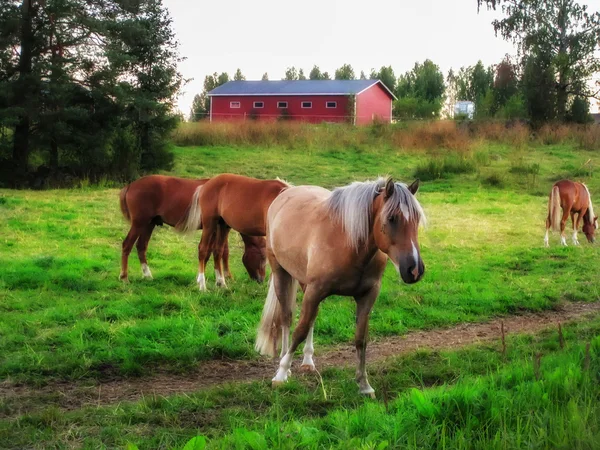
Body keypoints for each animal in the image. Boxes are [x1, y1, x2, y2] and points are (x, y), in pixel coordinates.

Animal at [118, 175, 266, 282]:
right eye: (263, 257)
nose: (261, 280)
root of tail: (131, 185)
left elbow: (216, 252)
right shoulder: (215, 228)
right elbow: (221, 252)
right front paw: (223, 277)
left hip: (149, 224)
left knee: (141, 246)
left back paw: (147, 275)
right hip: (139, 223)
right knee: (127, 245)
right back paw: (124, 277)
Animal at [254, 178, 426, 396]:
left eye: (417, 219)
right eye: (392, 218)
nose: (414, 269)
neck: (348, 242)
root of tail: (286, 191)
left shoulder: (367, 296)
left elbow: (361, 338)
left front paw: (364, 384)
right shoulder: (315, 291)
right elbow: (299, 330)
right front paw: (281, 374)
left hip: (304, 282)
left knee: (310, 318)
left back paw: (308, 361)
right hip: (281, 274)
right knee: (286, 318)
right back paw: (284, 362)